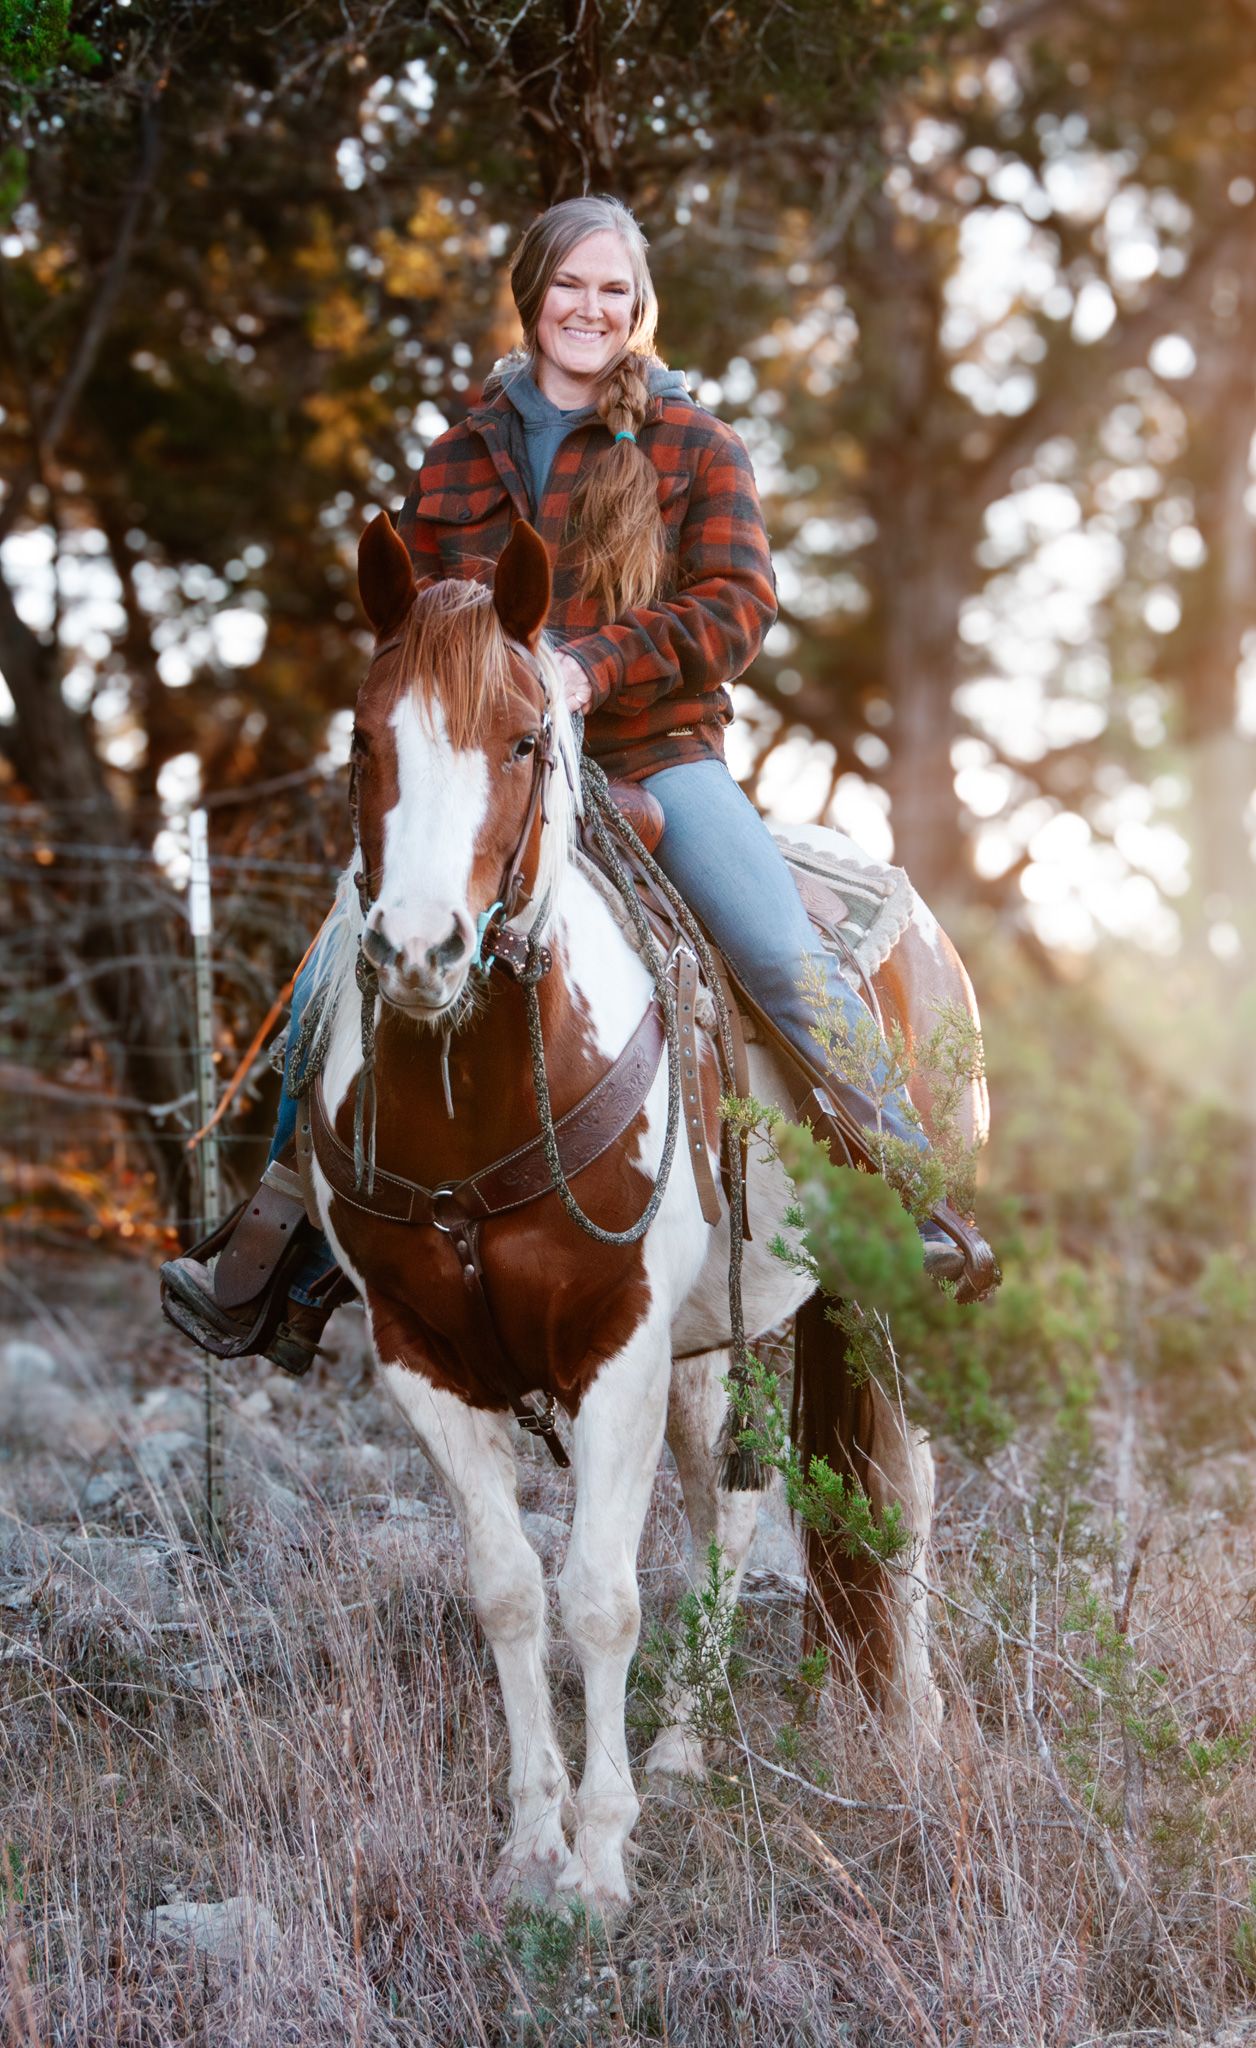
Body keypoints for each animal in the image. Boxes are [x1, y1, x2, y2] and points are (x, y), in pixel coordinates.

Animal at [297, 511, 990, 1914]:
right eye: (363, 739)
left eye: (524, 737)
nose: (418, 950)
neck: (473, 1095)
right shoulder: (420, 1352)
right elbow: (509, 1590)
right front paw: (530, 1842)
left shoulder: (612, 1338)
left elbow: (601, 1598)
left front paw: (601, 1862)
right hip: (709, 1335)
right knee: (725, 1495)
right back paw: (681, 1744)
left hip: (872, 1294)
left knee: (903, 1486)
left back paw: (912, 1728)